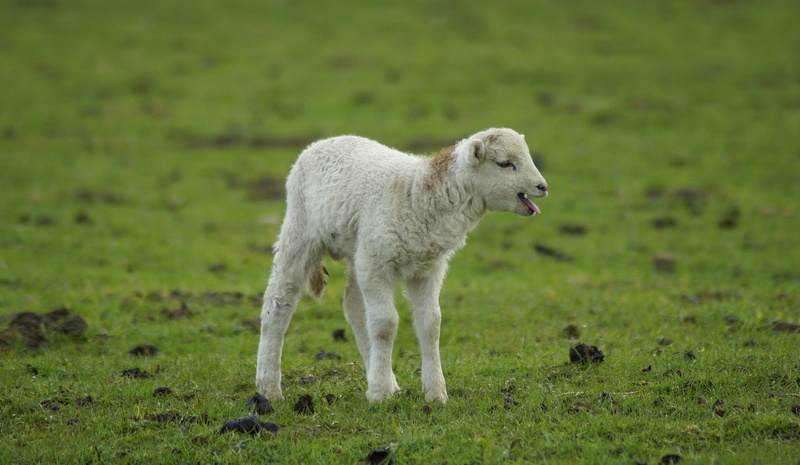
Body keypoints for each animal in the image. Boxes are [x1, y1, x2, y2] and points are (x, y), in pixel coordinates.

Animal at [256, 128, 548, 403]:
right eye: (505, 163)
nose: (542, 186)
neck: (418, 192)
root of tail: (323, 142)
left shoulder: (427, 268)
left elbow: (431, 324)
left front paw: (435, 393)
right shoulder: (376, 263)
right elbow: (385, 324)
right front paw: (381, 394)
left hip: (358, 248)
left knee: (353, 306)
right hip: (302, 229)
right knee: (279, 300)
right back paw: (269, 388)